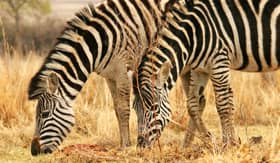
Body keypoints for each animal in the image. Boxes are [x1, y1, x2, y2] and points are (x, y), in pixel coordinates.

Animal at [28, 0, 183, 155]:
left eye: (45, 114)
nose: (34, 151)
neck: (99, 44)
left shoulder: (123, 72)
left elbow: (124, 109)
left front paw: (126, 146)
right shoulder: (110, 76)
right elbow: (117, 110)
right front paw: (122, 144)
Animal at [133, 0, 280, 148]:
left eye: (154, 107)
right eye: (134, 108)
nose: (141, 145)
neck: (192, 34)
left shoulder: (219, 61)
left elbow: (223, 104)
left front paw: (228, 143)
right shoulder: (200, 69)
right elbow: (193, 105)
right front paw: (210, 139)